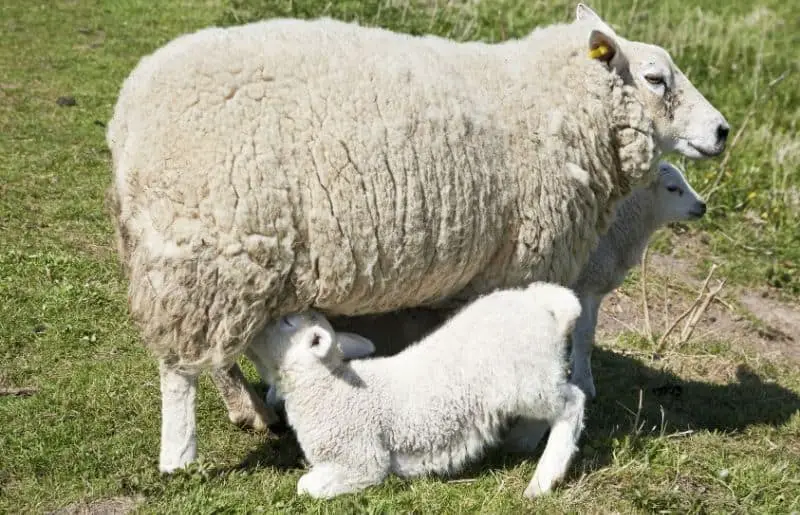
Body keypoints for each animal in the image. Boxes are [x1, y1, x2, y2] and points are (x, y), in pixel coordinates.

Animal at [248, 282, 586, 500]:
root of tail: (543, 304)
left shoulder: (363, 459)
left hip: (527, 379)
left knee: (572, 402)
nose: (256, 323)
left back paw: (544, 480)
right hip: (533, 378)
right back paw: (521, 443)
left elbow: (306, 486)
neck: (326, 388)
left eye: (287, 321)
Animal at [568, 161, 708, 399]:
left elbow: (585, 332)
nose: (702, 206)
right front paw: (584, 383)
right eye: (672, 188)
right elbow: (584, 336)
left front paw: (572, 365)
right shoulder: (584, 284)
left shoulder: (595, 287)